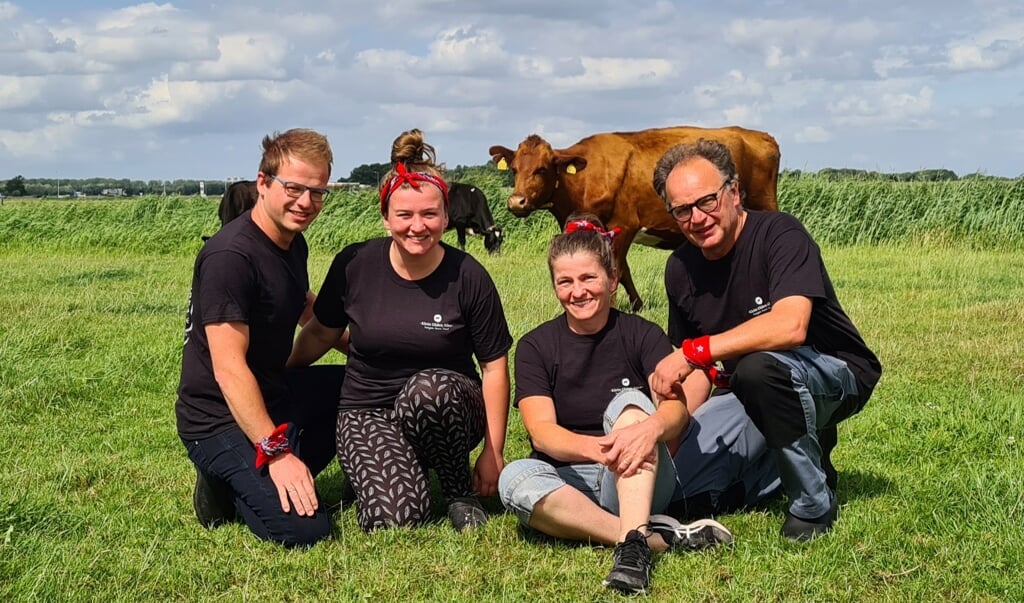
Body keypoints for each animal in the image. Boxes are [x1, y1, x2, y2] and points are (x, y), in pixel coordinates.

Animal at [485, 123, 774, 311]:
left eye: (542, 169)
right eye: (514, 169)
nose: (516, 201)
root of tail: (757, 134)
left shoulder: (623, 224)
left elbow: (616, 268)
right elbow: (621, 271)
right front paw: (637, 305)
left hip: (764, 203)